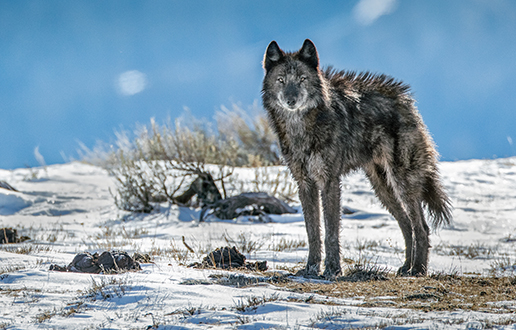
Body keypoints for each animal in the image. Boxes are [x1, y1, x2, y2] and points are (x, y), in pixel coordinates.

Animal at [262, 40, 452, 280]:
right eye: (281, 80)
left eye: (302, 79)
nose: (291, 100)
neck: (302, 128)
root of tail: (406, 101)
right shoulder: (304, 184)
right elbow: (312, 232)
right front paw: (311, 268)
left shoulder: (330, 181)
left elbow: (331, 232)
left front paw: (333, 269)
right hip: (382, 189)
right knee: (407, 224)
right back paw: (405, 267)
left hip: (402, 183)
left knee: (421, 227)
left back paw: (418, 269)